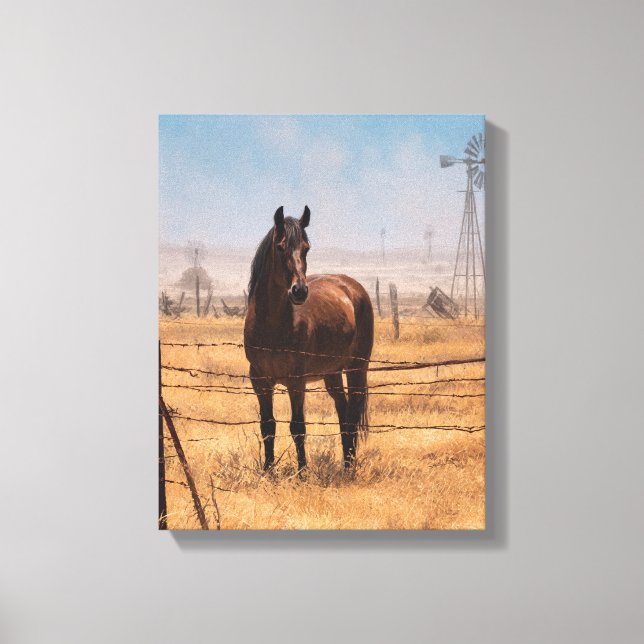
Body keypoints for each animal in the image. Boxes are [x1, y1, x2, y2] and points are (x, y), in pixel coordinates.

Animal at [244, 206, 374, 472]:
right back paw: (345, 464)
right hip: (332, 373)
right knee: (343, 412)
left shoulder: (296, 382)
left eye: (306, 248)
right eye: (280, 246)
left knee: (352, 414)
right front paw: (268, 471)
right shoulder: (260, 381)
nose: (300, 291)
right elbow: (268, 426)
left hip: (357, 369)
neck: (271, 326)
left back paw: (349, 467)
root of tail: (352, 287)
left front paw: (303, 472)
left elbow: (298, 428)